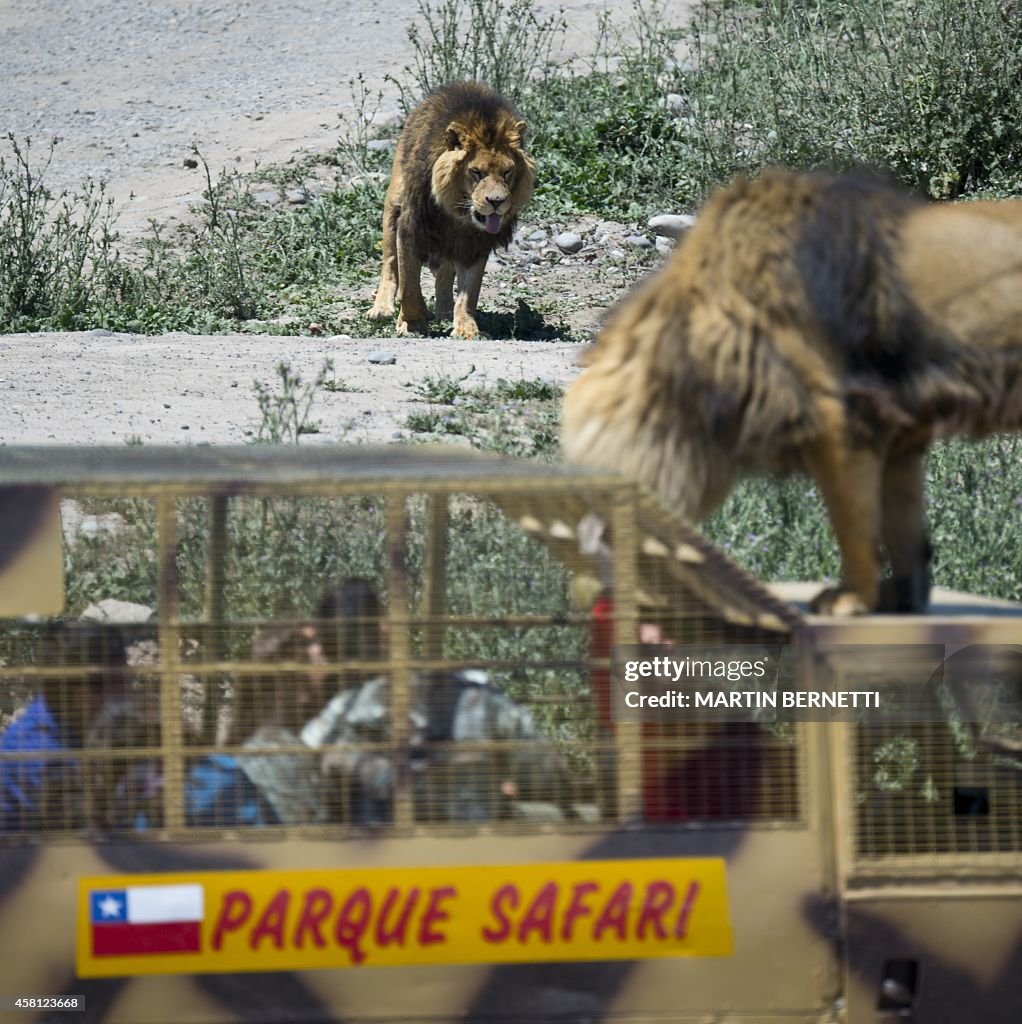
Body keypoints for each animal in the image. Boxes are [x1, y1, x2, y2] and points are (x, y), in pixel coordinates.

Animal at [366, 80, 536, 339]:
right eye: (476, 172)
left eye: (507, 172)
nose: (496, 201)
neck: (457, 214)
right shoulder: (410, 229)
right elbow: (408, 286)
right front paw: (412, 322)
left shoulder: (475, 245)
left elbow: (469, 293)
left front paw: (466, 328)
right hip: (393, 207)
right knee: (390, 264)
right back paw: (382, 308)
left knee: (445, 274)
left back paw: (445, 312)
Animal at [561, 168, 1022, 614]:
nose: (582, 593)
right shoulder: (899, 436)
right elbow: (903, 531)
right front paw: (902, 600)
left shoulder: (839, 419)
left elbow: (854, 528)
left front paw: (850, 601)